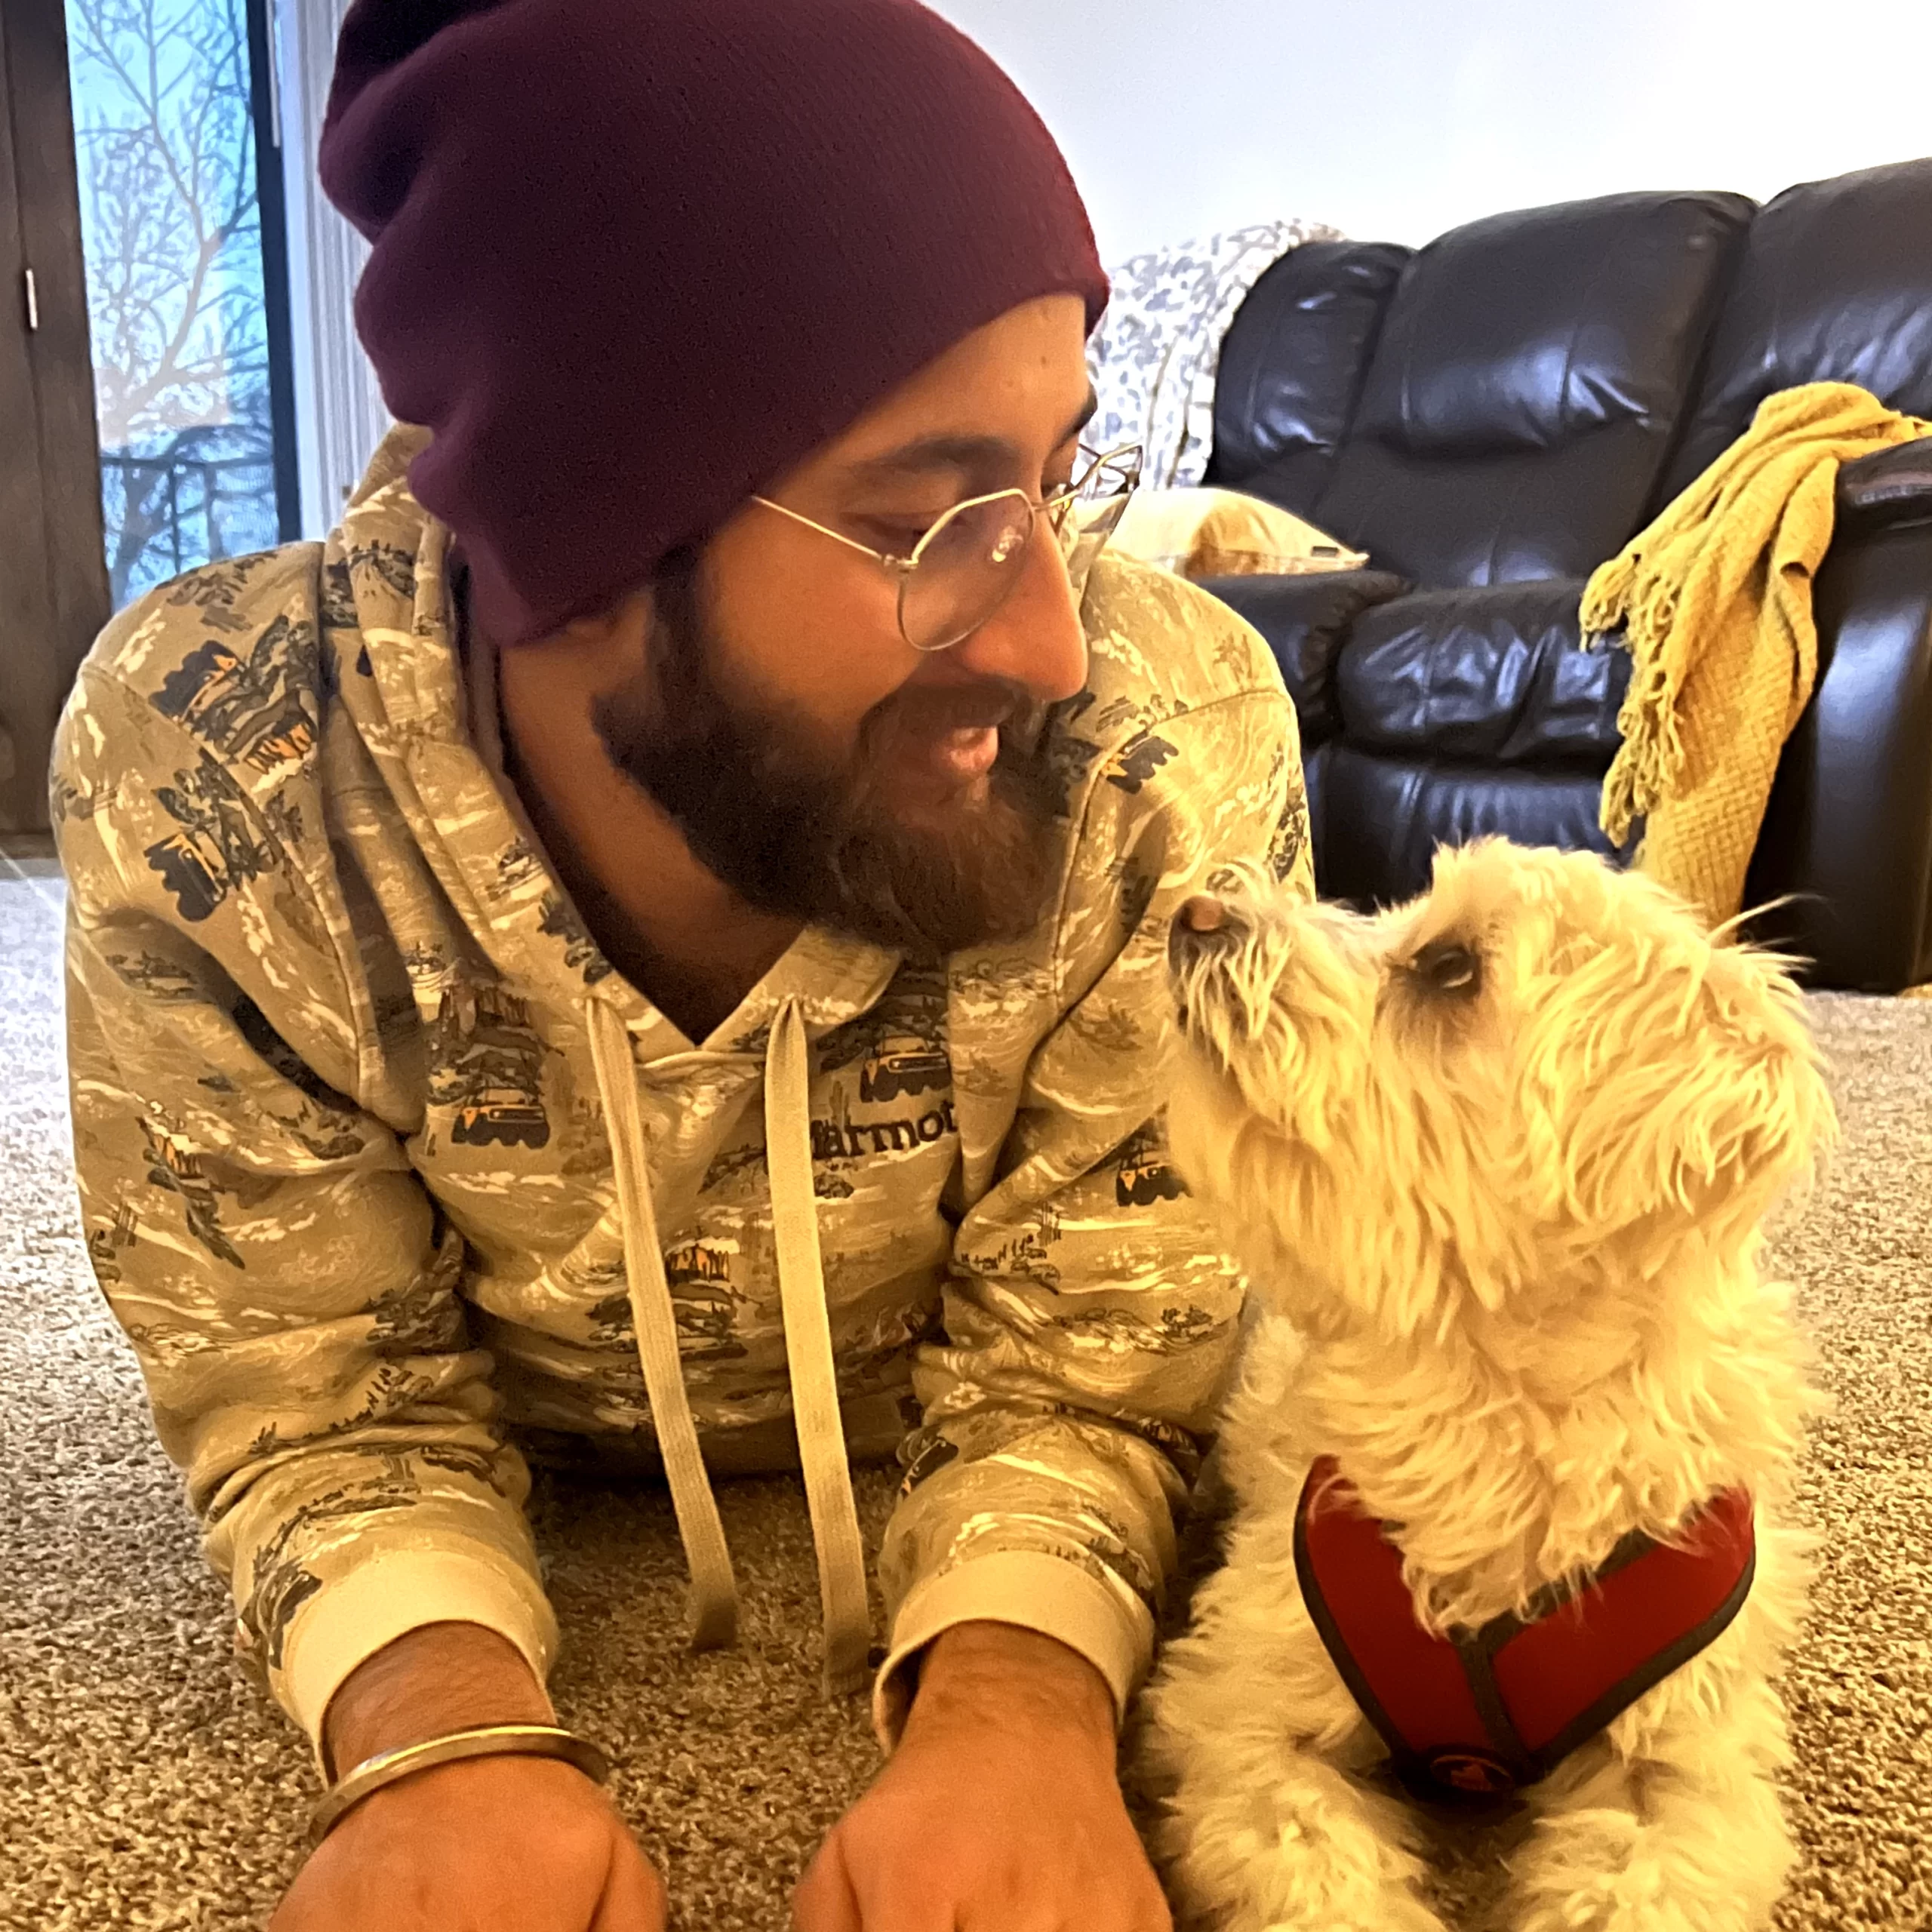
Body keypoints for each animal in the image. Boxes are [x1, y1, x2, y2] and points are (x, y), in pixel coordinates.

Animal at [1136, 838, 1831, 1932]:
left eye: (1449, 967)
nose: (1196, 908)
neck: (1488, 1411)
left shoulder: (1687, 1772)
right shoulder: (1245, 1718)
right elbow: (1325, 1878)